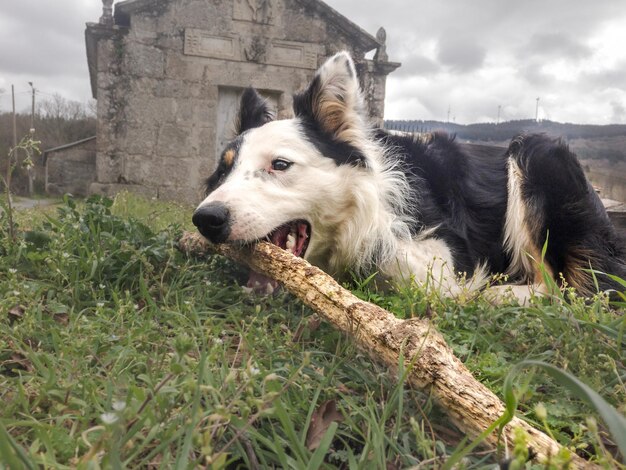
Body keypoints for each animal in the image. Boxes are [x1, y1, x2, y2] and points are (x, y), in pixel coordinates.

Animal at [193, 51, 620, 302]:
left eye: (279, 165)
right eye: (223, 172)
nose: (205, 220)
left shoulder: (445, 252)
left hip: (536, 151)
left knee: (576, 288)